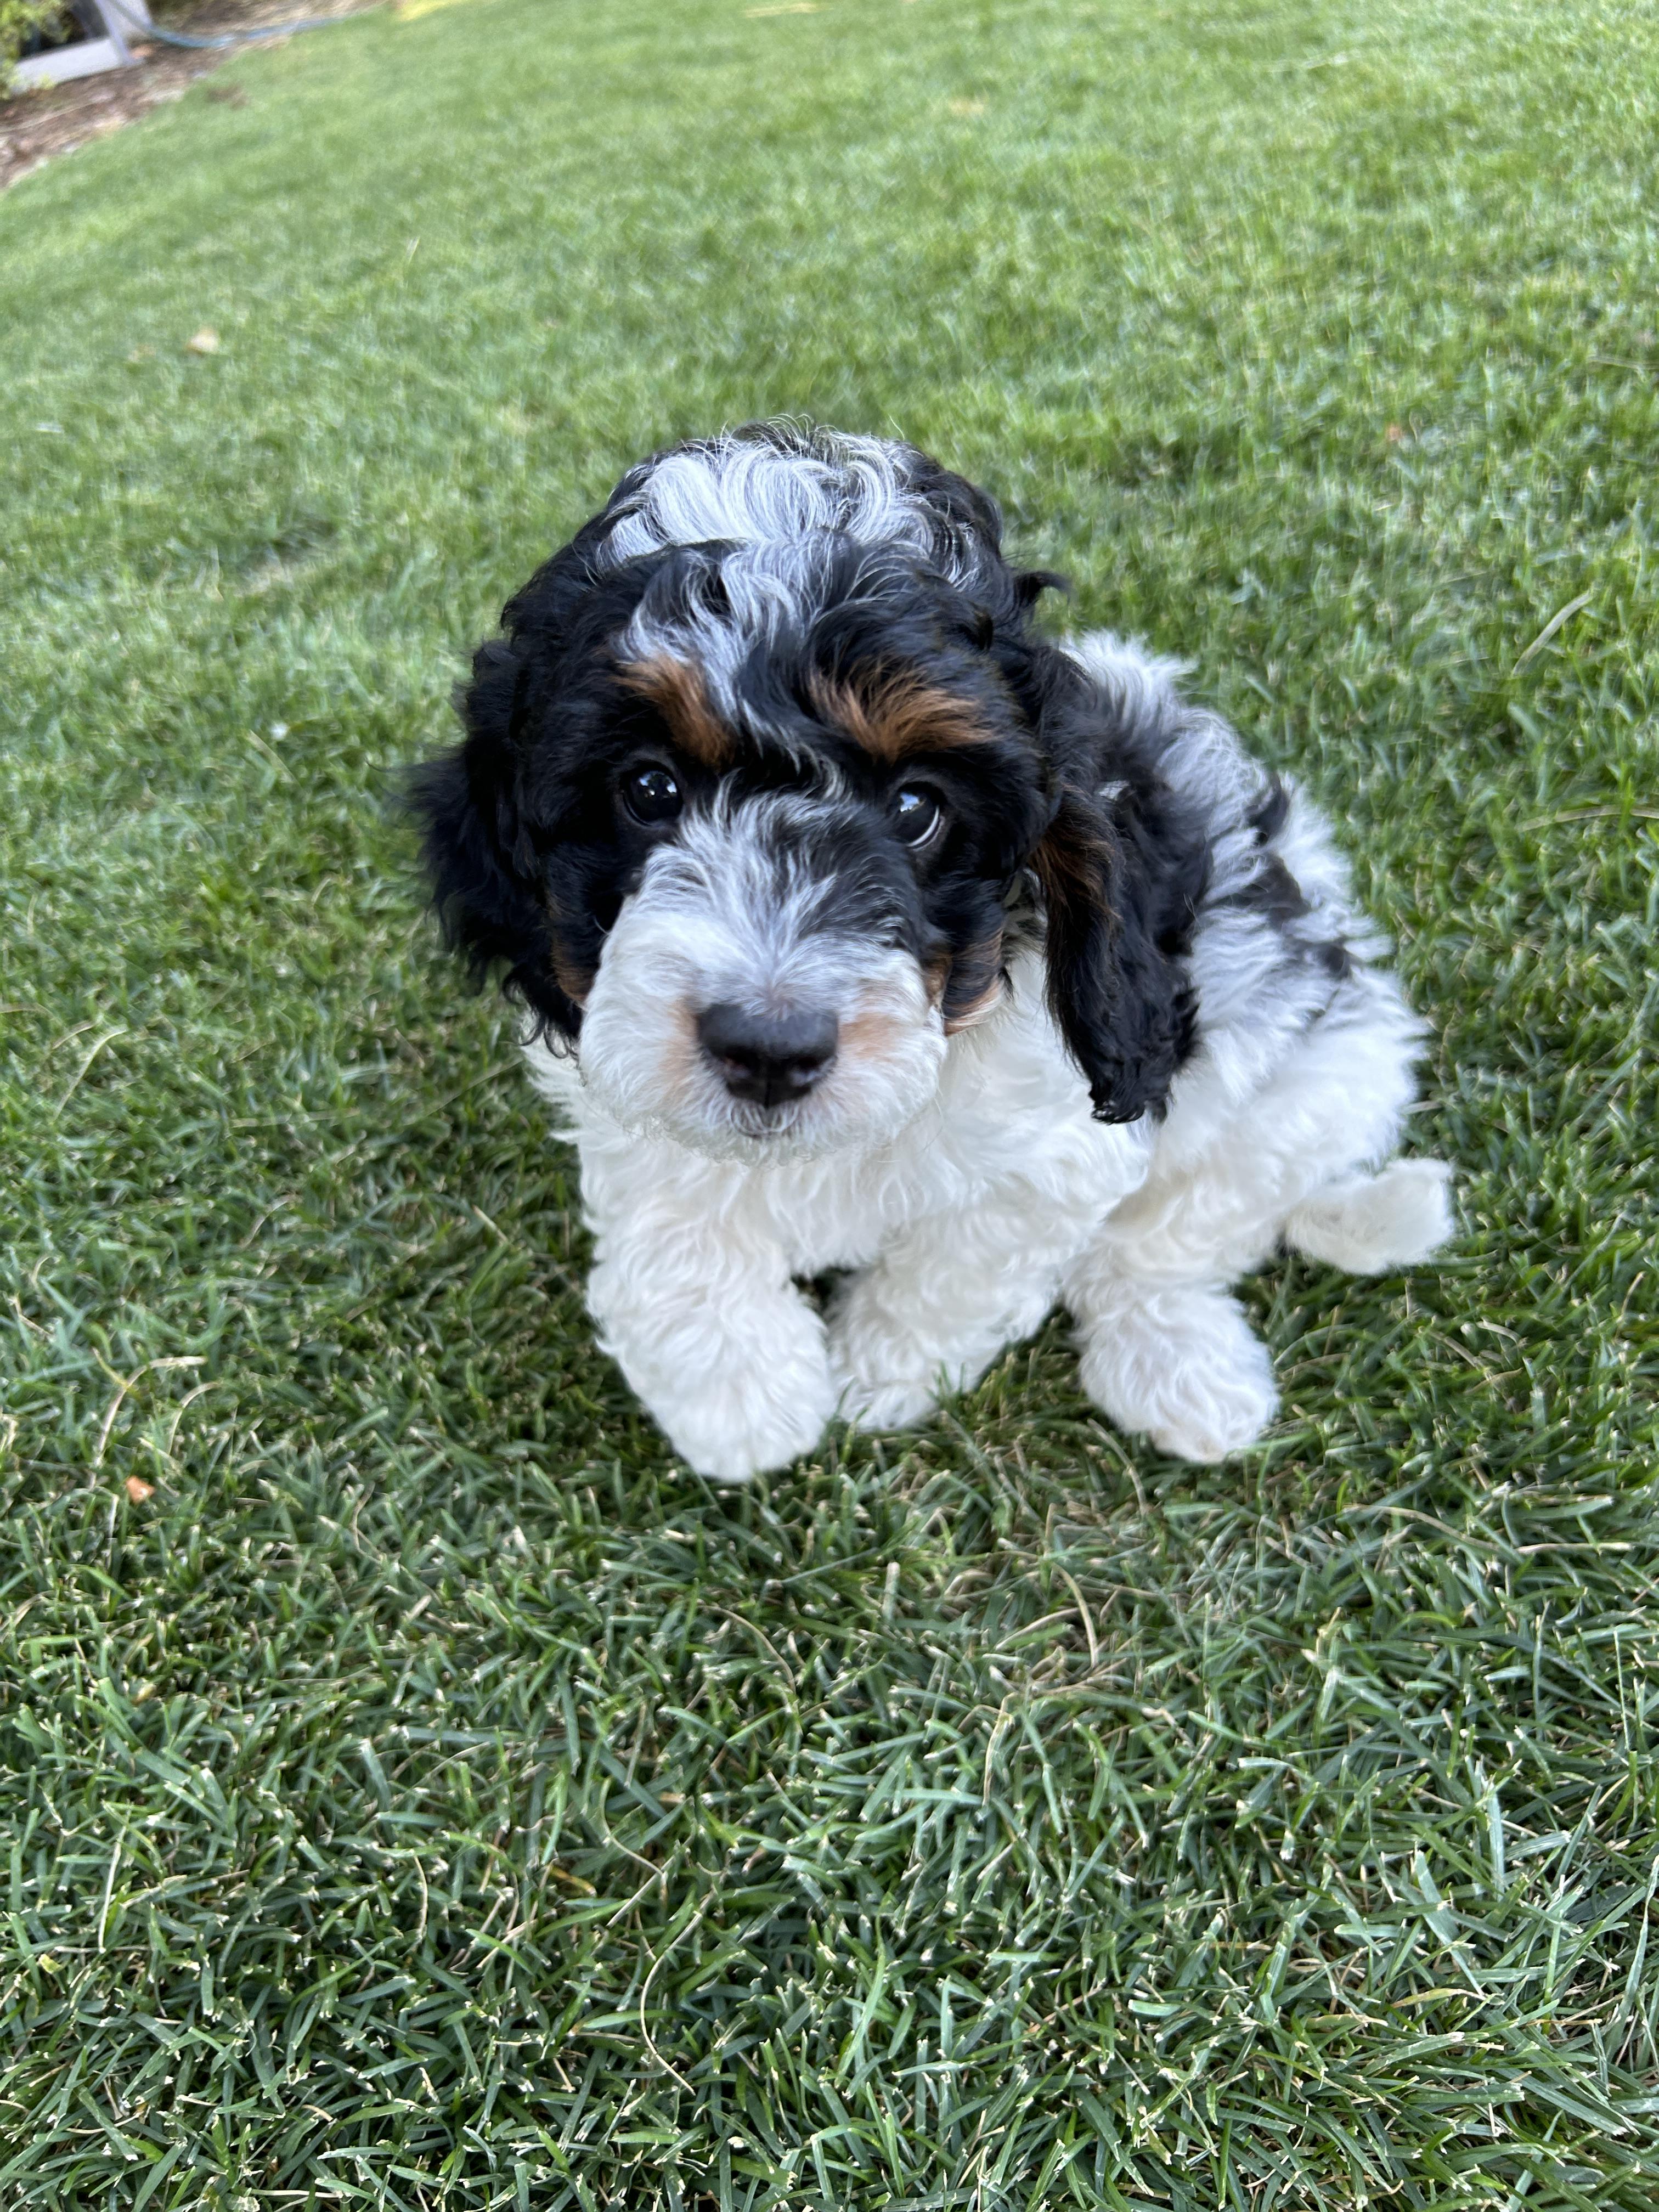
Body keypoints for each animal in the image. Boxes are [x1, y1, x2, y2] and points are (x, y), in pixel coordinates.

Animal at [412, 422, 1451, 1481]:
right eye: (649, 789)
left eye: (917, 808)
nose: (768, 1050)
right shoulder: (616, 1066)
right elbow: (671, 1215)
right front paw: (741, 1397)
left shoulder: (1061, 1144)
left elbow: (963, 1264)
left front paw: (875, 1371)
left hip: (1321, 1076)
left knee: (1170, 1237)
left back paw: (1177, 1365)